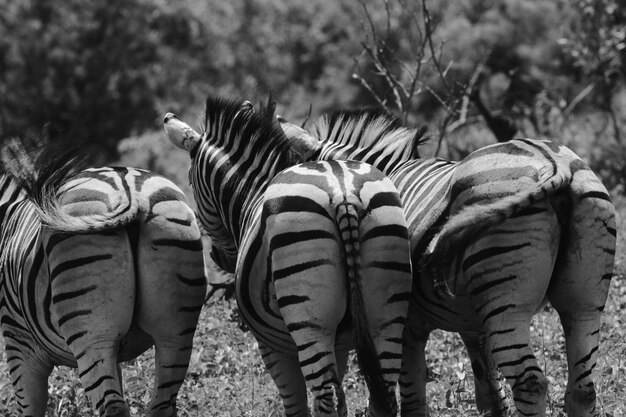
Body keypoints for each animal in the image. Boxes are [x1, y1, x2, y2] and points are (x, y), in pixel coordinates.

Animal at [0, 138, 206, 414]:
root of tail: (129, 191)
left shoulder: (19, 343)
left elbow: (29, 409)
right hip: (175, 327)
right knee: (161, 403)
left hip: (93, 335)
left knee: (113, 407)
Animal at [163, 96, 412, 414]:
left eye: (191, 184)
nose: (218, 258)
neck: (253, 192)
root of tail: (342, 193)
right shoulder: (340, 344)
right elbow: (342, 397)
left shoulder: (273, 347)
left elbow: (297, 404)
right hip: (386, 309)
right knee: (382, 394)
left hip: (309, 320)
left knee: (325, 396)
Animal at [274, 109, 616, 416]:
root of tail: (555, 163)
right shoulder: (474, 327)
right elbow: (490, 396)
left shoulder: (407, 324)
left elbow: (412, 399)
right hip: (585, 299)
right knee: (583, 388)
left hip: (508, 304)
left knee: (531, 384)